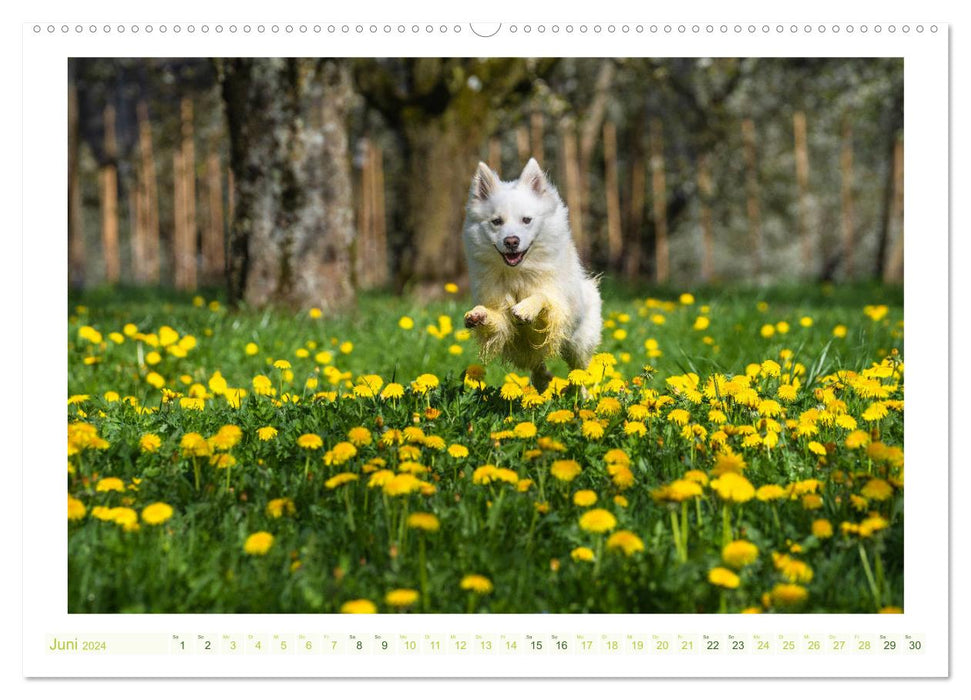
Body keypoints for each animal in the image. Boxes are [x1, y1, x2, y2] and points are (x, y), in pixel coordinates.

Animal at [462, 157, 600, 394]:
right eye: (496, 222)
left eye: (526, 220)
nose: (511, 241)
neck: (517, 273)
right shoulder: (506, 328)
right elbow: (497, 320)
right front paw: (479, 314)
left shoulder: (555, 311)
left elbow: (542, 297)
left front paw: (526, 308)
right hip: (522, 352)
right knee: (537, 365)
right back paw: (543, 380)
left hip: (578, 342)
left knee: (579, 369)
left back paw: (581, 395)